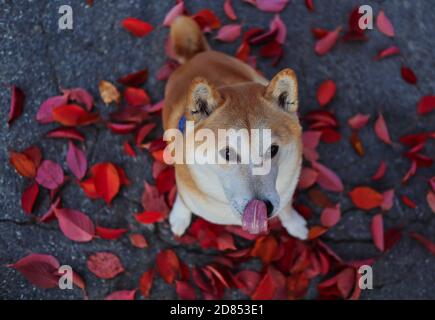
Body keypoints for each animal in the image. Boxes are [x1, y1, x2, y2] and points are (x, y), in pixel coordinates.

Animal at [162, 15, 308, 240]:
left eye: (273, 149)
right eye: (228, 153)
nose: (262, 208)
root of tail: (196, 56)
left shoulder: (285, 192)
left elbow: (286, 207)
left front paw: (294, 223)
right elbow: (184, 199)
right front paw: (180, 216)